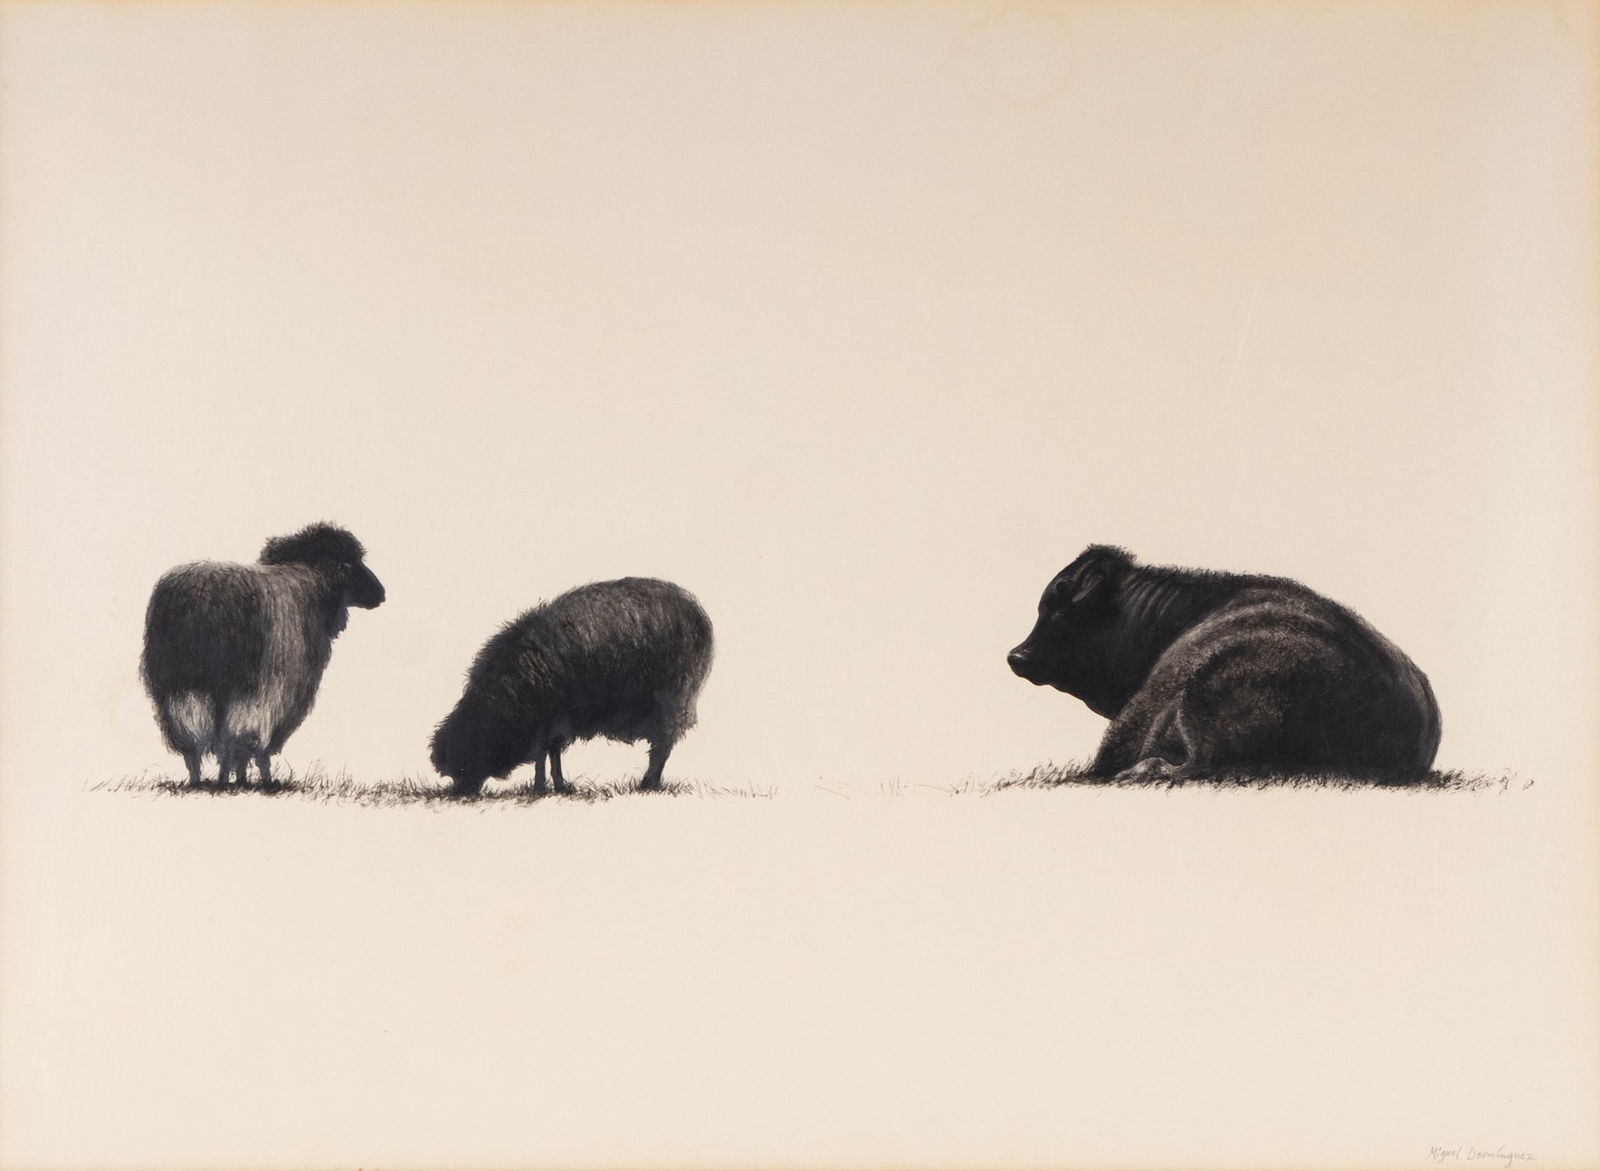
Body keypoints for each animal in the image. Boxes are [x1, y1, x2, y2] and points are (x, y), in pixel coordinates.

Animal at [140, 522, 385, 786]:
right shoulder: (279, 692)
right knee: (236, 737)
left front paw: (238, 778)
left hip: (183, 686)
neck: (312, 583)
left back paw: (203, 781)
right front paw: (261, 779)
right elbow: (256, 743)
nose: (381, 593)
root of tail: (201, 600)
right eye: (351, 563)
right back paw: (240, 781)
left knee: (195, 739)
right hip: (243, 687)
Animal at [430, 577, 714, 797]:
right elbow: (551, 754)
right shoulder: (552, 721)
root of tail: (697, 613)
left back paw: (648, 784)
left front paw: (541, 788)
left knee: (662, 746)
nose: (460, 794)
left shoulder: (550, 717)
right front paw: (557, 786)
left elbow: (542, 755)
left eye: (466, 759)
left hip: (671, 697)